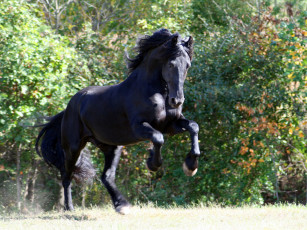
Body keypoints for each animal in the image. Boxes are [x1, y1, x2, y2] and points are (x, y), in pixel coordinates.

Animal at [36, 28, 201, 214]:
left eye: (187, 65)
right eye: (171, 64)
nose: (177, 101)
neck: (152, 91)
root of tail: (69, 107)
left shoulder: (170, 125)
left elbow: (193, 127)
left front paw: (191, 166)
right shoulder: (140, 127)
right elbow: (158, 138)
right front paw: (152, 163)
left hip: (112, 147)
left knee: (106, 177)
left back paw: (121, 205)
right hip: (73, 148)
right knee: (66, 176)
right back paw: (69, 208)